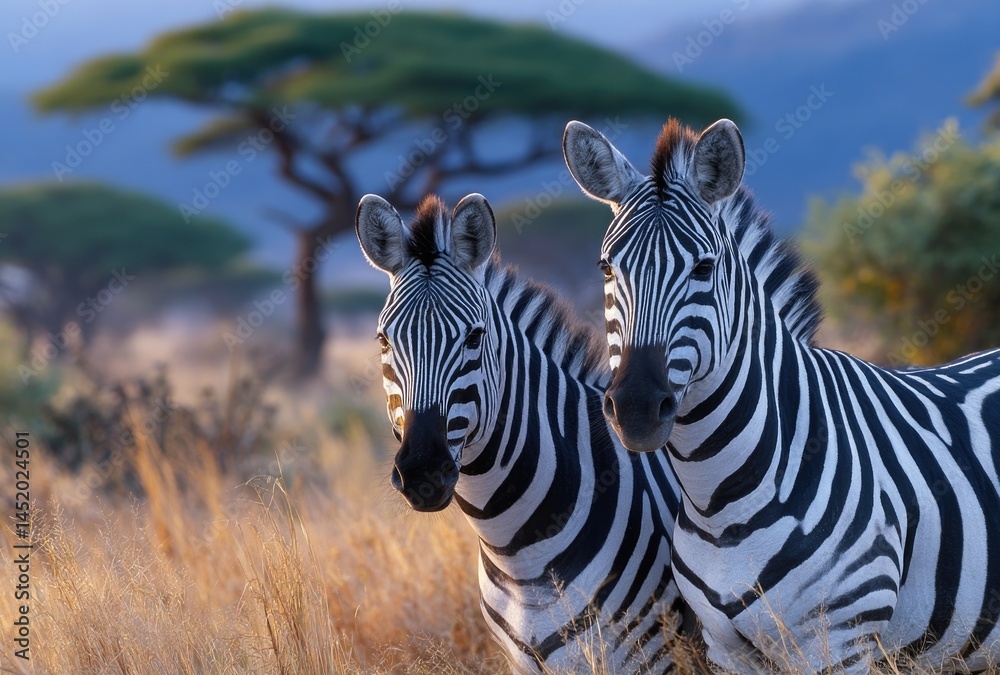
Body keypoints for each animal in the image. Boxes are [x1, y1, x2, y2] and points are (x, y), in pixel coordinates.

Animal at [563, 117, 1000, 673]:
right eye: (605, 269)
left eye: (704, 269)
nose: (637, 408)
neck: (719, 503)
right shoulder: (727, 651)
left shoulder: (841, 642)